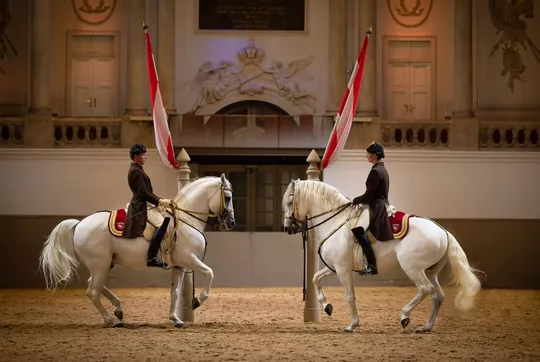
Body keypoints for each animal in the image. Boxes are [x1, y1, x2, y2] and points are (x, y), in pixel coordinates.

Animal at [39, 175, 234, 328]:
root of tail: (79, 224)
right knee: (92, 291)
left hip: (104, 264)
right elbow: (209, 273)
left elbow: (175, 291)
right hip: (100, 264)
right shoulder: (188, 259)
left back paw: (118, 309)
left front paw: (176, 319)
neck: (186, 220)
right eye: (228, 197)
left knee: (95, 286)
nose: (231, 223)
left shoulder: (179, 265)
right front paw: (197, 301)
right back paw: (112, 320)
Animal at [280, 180, 484, 332]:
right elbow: (315, 279)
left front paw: (352, 325)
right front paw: (327, 306)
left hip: (413, 268)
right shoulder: (335, 267)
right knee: (438, 296)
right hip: (430, 271)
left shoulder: (343, 269)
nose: (287, 228)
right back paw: (426, 327)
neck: (336, 221)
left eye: (289, 203)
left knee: (425, 289)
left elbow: (350, 296)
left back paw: (404, 316)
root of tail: (443, 231)